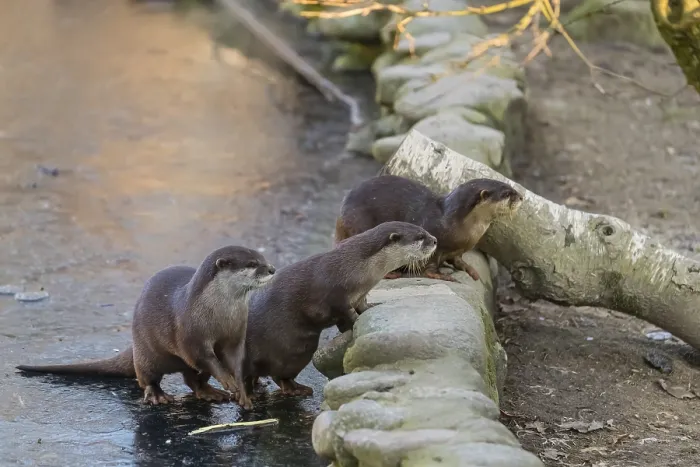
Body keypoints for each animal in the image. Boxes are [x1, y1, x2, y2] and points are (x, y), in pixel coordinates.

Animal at [16, 246, 275, 409]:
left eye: (263, 259)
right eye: (253, 264)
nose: (272, 269)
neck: (217, 313)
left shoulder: (235, 335)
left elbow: (235, 360)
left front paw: (243, 393)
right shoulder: (191, 334)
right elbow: (204, 356)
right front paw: (228, 381)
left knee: (192, 379)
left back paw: (209, 392)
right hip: (146, 353)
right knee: (149, 378)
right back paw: (157, 396)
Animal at [242, 221, 437, 397]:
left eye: (424, 230)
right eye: (420, 236)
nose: (435, 240)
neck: (358, 266)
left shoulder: (360, 295)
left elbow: (362, 306)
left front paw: (373, 307)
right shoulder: (337, 298)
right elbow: (347, 314)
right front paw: (354, 323)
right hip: (285, 348)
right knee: (277, 374)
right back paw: (297, 389)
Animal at [334, 175, 523, 282]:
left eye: (511, 188)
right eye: (506, 194)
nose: (521, 197)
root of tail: (341, 215)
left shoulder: (459, 249)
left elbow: (458, 260)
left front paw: (470, 270)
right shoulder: (433, 242)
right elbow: (430, 264)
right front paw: (440, 275)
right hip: (361, 224)